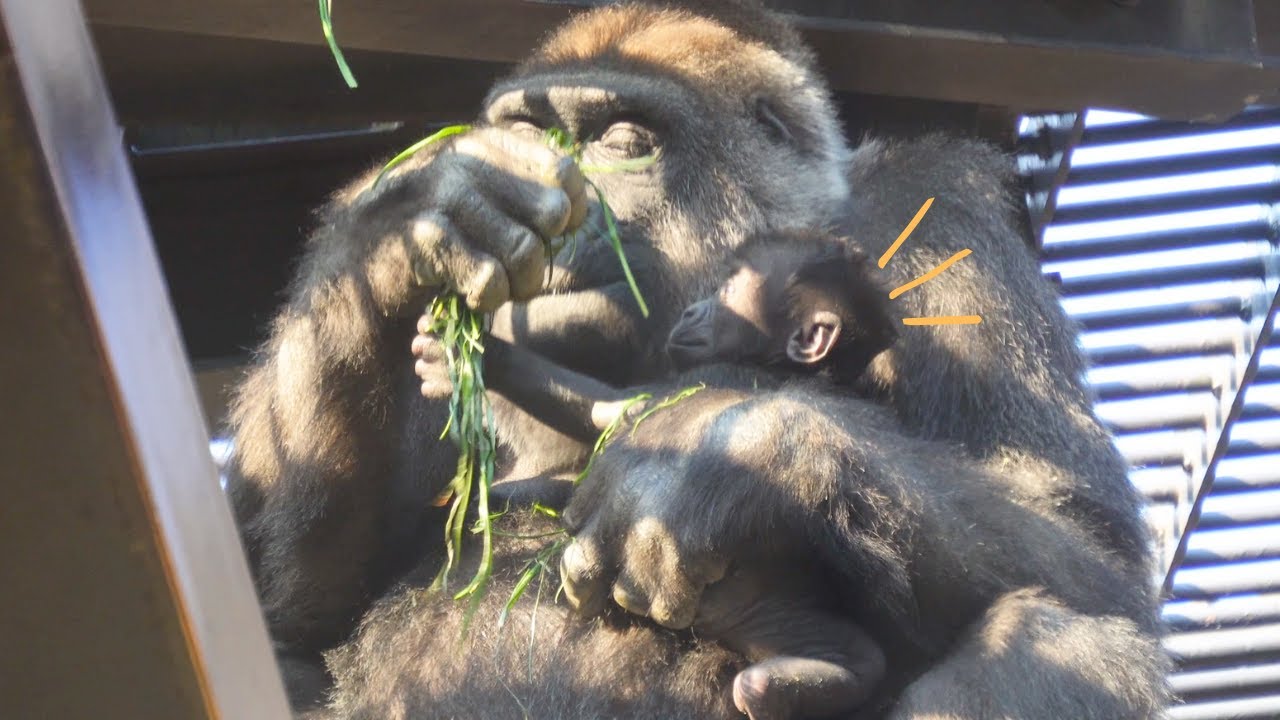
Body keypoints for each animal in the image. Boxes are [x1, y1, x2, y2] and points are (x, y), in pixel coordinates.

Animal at [222, 1, 1167, 718]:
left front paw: (725, 450)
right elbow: (301, 602)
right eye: (534, 135)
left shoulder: (940, 212)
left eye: (623, 141)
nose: (574, 209)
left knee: (1062, 629)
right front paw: (410, 233)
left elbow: (1084, 543)